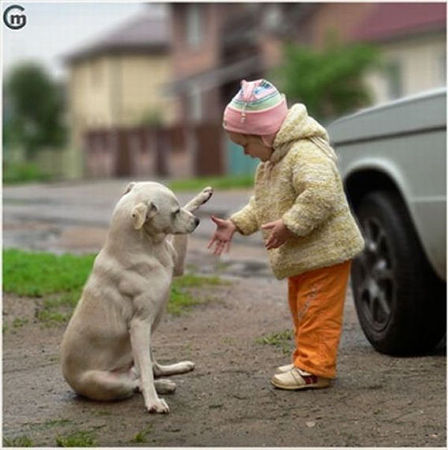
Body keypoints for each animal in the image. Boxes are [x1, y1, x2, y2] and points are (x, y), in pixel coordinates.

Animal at [61, 181, 214, 414]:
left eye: (179, 207)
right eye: (175, 212)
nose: (197, 222)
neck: (146, 246)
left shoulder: (177, 266)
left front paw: (202, 196)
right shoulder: (140, 325)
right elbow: (146, 377)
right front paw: (153, 403)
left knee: (151, 369)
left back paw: (171, 374)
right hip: (111, 380)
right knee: (138, 381)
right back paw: (157, 391)